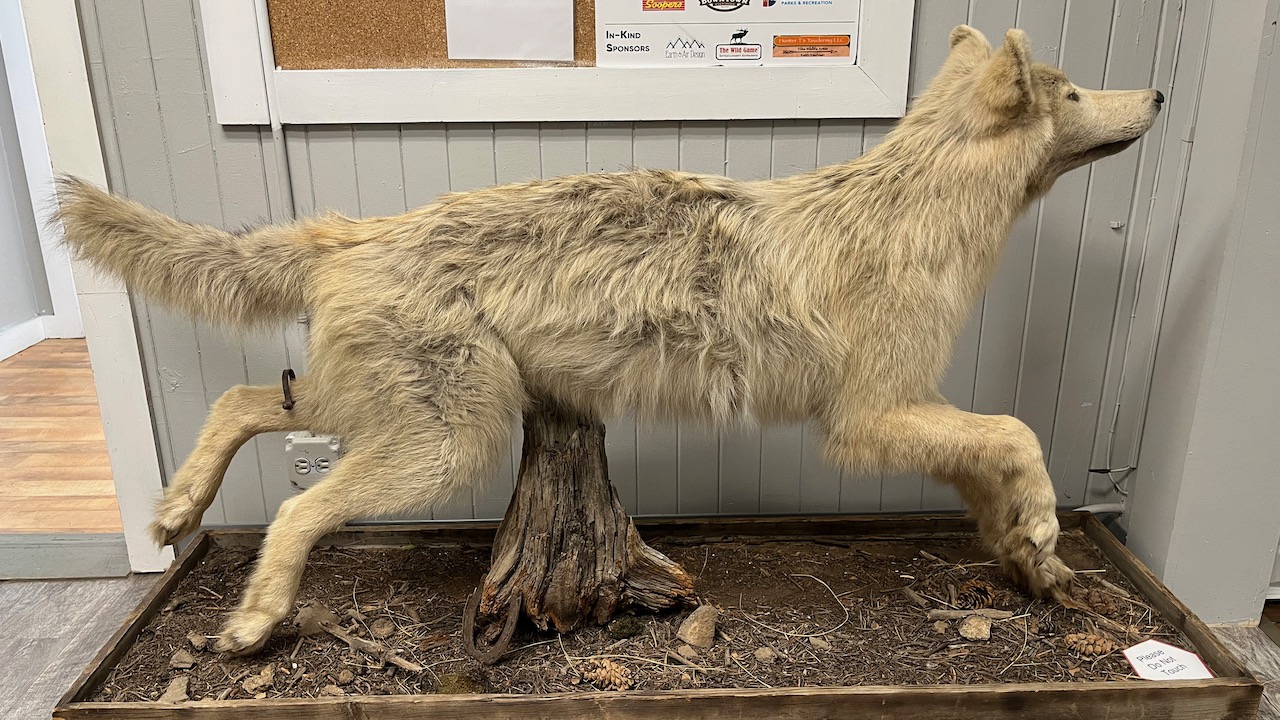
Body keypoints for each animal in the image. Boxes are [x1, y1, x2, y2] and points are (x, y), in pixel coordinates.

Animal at [57, 26, 1163, 654]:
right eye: (1070, 91)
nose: (1157, 94)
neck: (914, 209)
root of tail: (359, 230)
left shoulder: (910, 412)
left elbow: (995, 471)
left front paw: (1034, 561)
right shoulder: (866, 421)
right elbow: (1020, 432)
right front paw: (1043, 529)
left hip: (384, 415)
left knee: (240, 401)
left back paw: (174, 512)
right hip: (441, 449)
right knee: (293, 511)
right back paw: (249, 619)